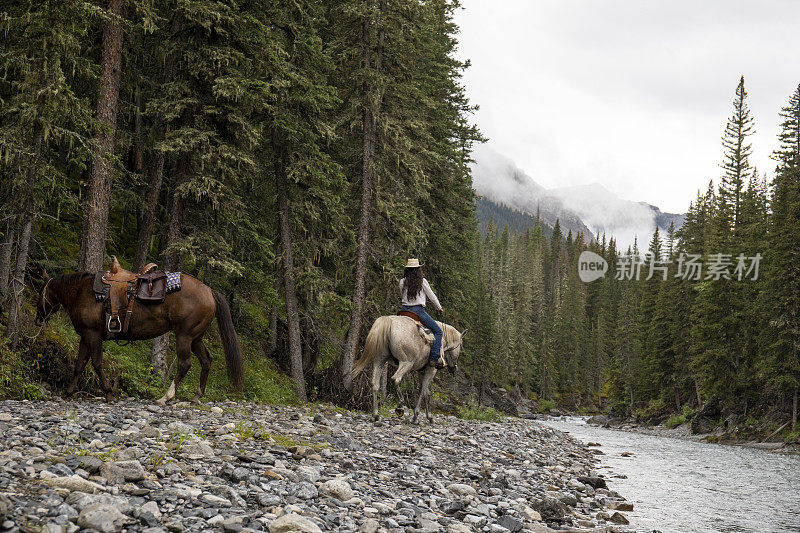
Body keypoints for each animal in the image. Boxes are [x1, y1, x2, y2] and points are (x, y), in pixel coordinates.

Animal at [36, 262, 244, 404]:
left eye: (41, 292)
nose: (38, 318)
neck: (84, 293)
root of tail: (210, 291)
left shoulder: (93, 334)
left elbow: (96, 363)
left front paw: (109, 392)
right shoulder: (85, 336)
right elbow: (79, 364)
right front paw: (68, 392)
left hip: (184, 336)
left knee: (185, 364)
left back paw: (165, 397)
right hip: (196, 338)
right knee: (206, 360)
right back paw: (197, 396)